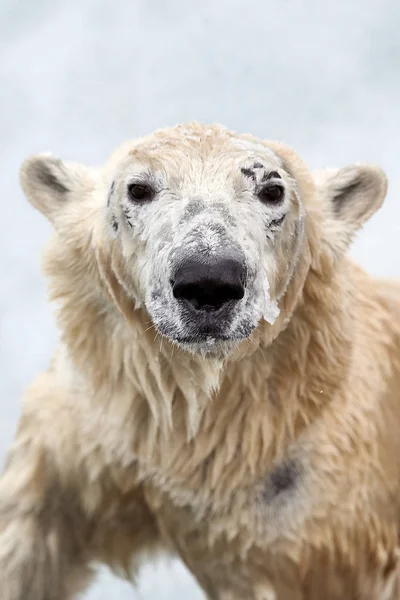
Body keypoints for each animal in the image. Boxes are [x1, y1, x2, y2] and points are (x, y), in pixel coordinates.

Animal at [0, 123, 400, 600]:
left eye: (271, 190)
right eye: (138, 188)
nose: (209, 280)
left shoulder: (320, 510)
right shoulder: (95, 422)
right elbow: (29, 532)